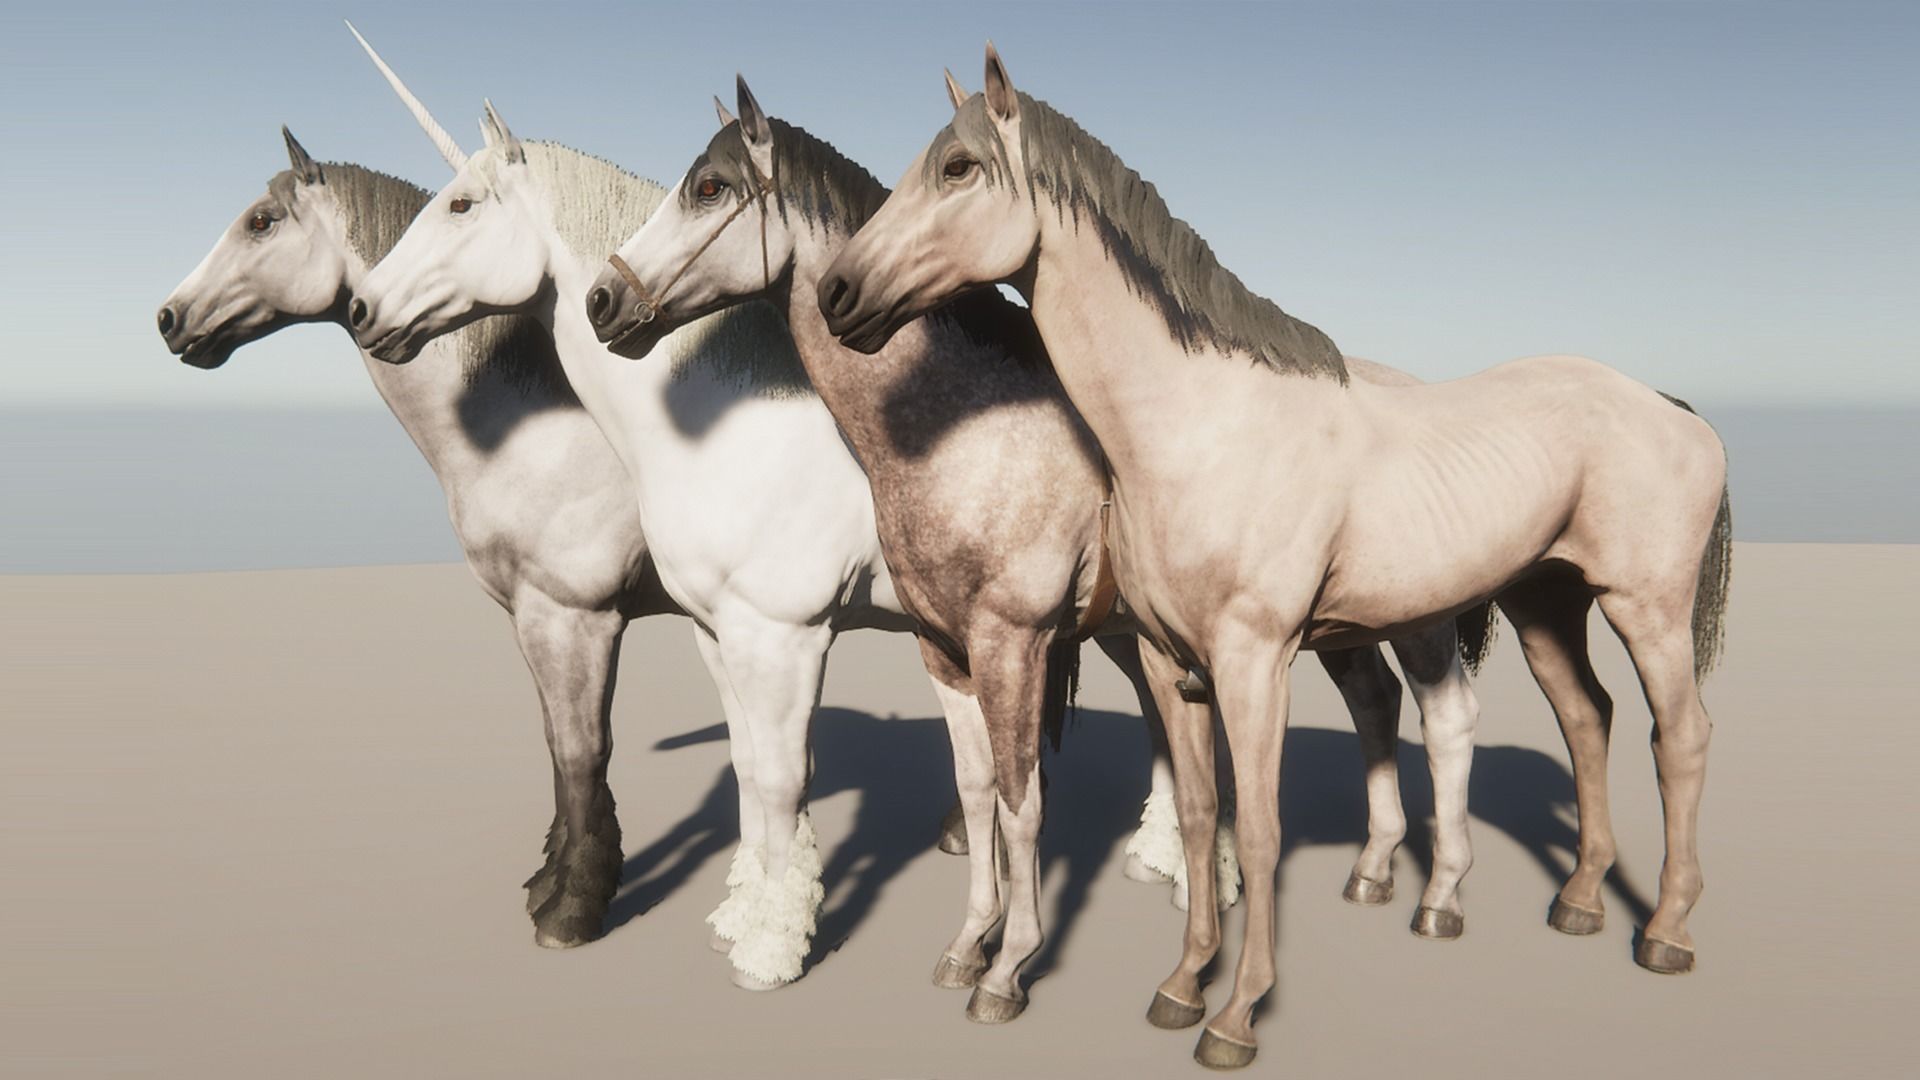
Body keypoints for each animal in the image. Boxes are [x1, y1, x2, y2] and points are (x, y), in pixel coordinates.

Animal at [156, 124, 679, 952]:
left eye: (261, 222)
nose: (169, 318)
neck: (540, 431)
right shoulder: (533, 621)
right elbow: (555, 747)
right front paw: (550, 879)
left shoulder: (576, 620)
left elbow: (580, 751)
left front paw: (572, 910)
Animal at [585, 76, 1490, 1023]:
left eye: (710, 188)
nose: (603, 301)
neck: (961, 431)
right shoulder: (942, 647)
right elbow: (978, 790)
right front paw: (966, 943)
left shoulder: (1007, 643)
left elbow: (1019, 803)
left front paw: (1008, 966)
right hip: (1320, 632)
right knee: (1372, 707)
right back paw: (1368, 871)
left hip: (1412, 621)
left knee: (1444, 719)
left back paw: (1434, 897)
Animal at [821, 45, 1732, 1068]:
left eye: (958, 167)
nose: (836, 294)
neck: (1198, 429)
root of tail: (1673, 409)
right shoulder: (1167, 662)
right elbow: (1198, 815)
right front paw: (1181, 986)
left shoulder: (1255, 661)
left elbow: (1257, 830)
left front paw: (1235, 1016)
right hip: (1547, 605)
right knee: (1587, 719)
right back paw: (1576, 900)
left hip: (1644, 610)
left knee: (1678, 737)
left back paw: (1664, 931)